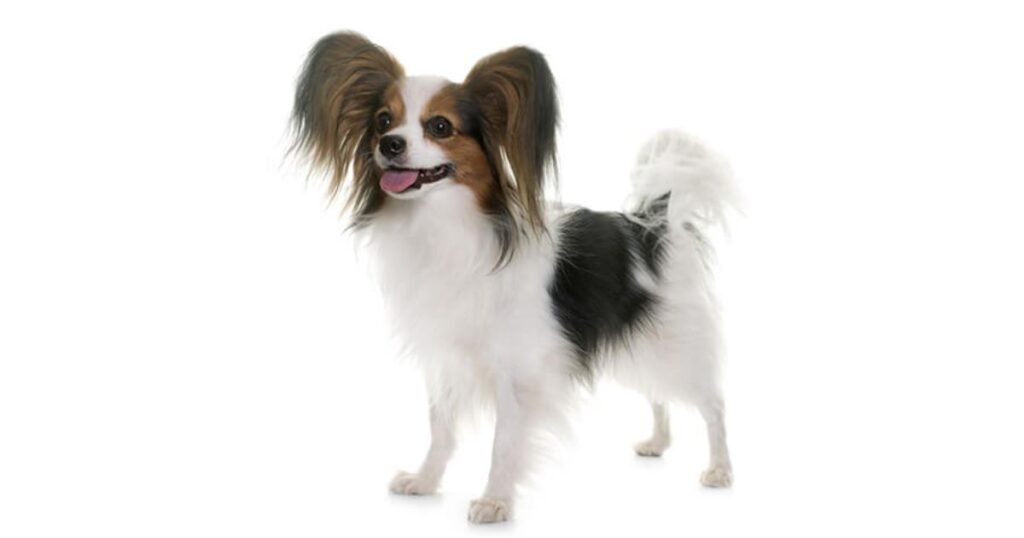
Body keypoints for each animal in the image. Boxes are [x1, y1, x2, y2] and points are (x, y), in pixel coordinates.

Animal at [291, 31, 735, 524]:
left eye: (440, 127)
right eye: (383, 121)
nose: (388, 144)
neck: (445, 225)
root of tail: (654, 224)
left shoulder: (518, 371)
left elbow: (504, 443)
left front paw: (495, 501)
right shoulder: (445, 359)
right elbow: (440, 429)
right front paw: (426, 482)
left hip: (673, 344)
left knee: (712, 404)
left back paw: (720, 469)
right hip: (637, 346)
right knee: (657, 395)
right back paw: (657, 442)